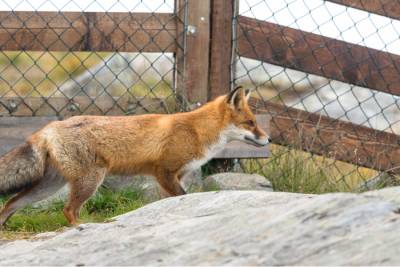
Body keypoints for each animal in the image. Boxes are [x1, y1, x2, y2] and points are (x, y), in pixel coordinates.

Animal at [0, 87, 270, 226]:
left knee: (11, 203)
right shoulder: (164, 172)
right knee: (68, 210)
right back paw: (81, 228)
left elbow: (171, 202)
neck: (196, 130)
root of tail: (49, 127)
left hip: (49, 186)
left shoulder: (174, 177)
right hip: (90, 181)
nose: (268, 140)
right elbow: (182, 196)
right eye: (250, 123)